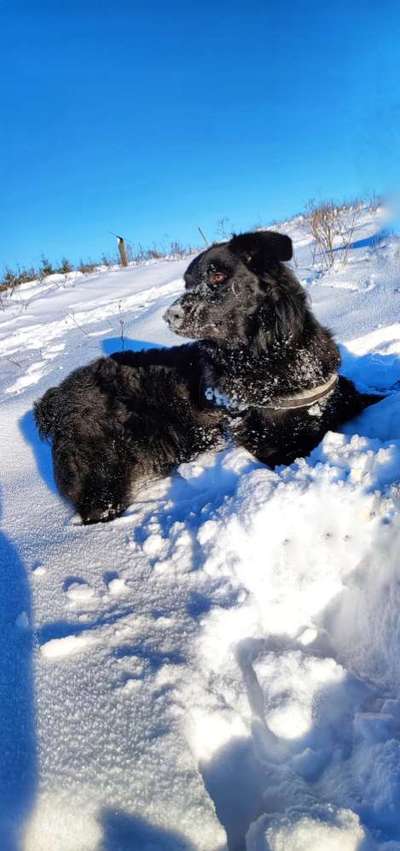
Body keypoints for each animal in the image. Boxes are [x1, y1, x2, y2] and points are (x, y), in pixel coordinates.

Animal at [33, 233, 378, 524]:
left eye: (217, 276)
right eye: (188, 283)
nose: (170, 315)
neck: (268, 356)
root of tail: (55, 398)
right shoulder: (274, 444)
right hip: (105, 476)